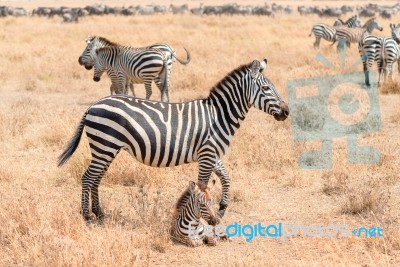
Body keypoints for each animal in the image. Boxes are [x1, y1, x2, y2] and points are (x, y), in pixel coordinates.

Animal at [57, 59, 290, 224]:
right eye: (267, 89)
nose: (287, 112)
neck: (219, 116)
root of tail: (94, 104)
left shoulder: (211, 154)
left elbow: (226, 177)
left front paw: (222, 208)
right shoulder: (207, 154)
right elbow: (203, 186)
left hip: (106, 148)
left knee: (96, 178)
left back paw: (100, 213)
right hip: (104, 145)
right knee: (88, 177)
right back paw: (87, 216)